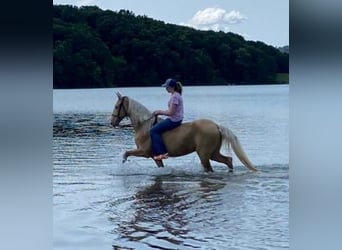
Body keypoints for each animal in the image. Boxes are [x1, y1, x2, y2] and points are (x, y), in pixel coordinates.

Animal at [111, 93, 258, 173]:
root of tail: (216, 126)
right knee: (228, 160)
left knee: (211, 168)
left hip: (204, 154)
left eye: (117, 106)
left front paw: (123, 163)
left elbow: (126, 153)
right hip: (213, 153)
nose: (112, 123)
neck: (144, 126)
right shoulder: (155, 157)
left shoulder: (144, 152)